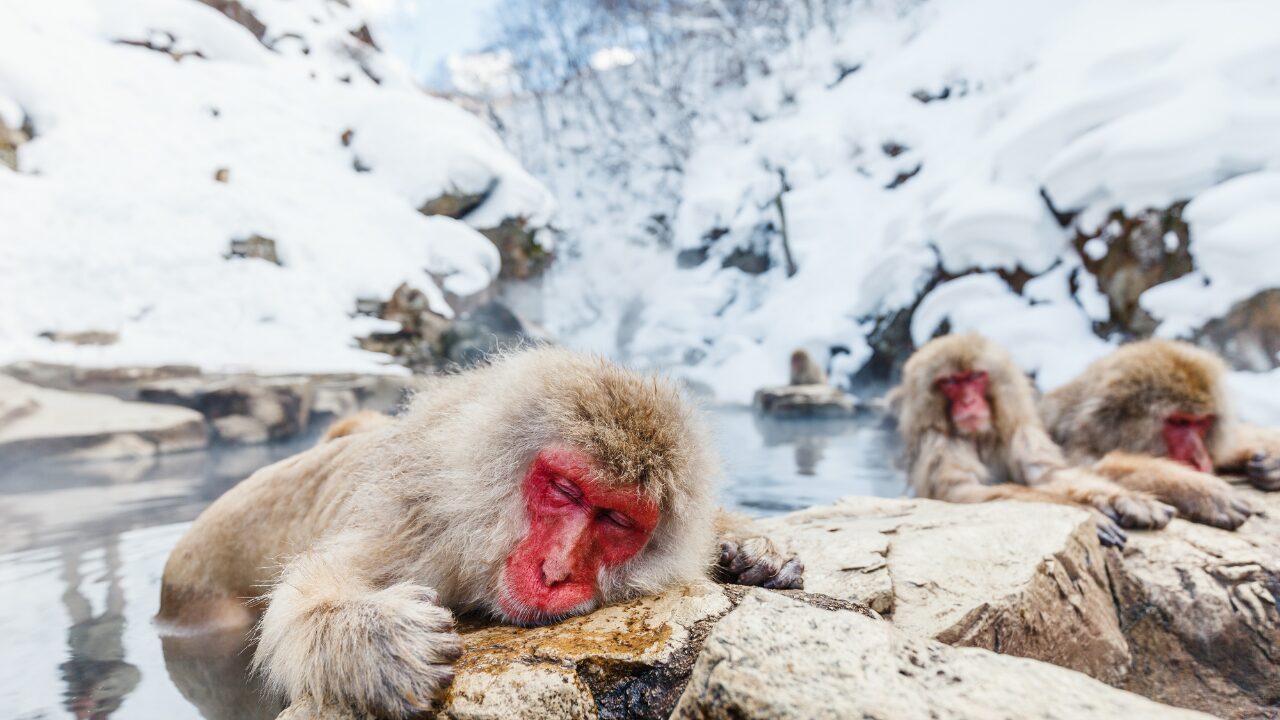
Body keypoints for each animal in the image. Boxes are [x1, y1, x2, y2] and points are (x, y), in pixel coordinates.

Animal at [157, 345, 798, 712]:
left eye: (616, 518)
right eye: (566, 490)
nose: (557, 570)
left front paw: (753, 547)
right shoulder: (417, 529)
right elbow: (302, 601)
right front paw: (376, 639)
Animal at [890, 333, 1177, 545]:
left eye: (975, 377)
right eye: (950, 382)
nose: (969, 401)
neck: (979, 436)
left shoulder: (1021, 431)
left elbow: (1048, 475)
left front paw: (1125, 499)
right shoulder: (939, 443)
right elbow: (961, 491)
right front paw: (1088, 513)